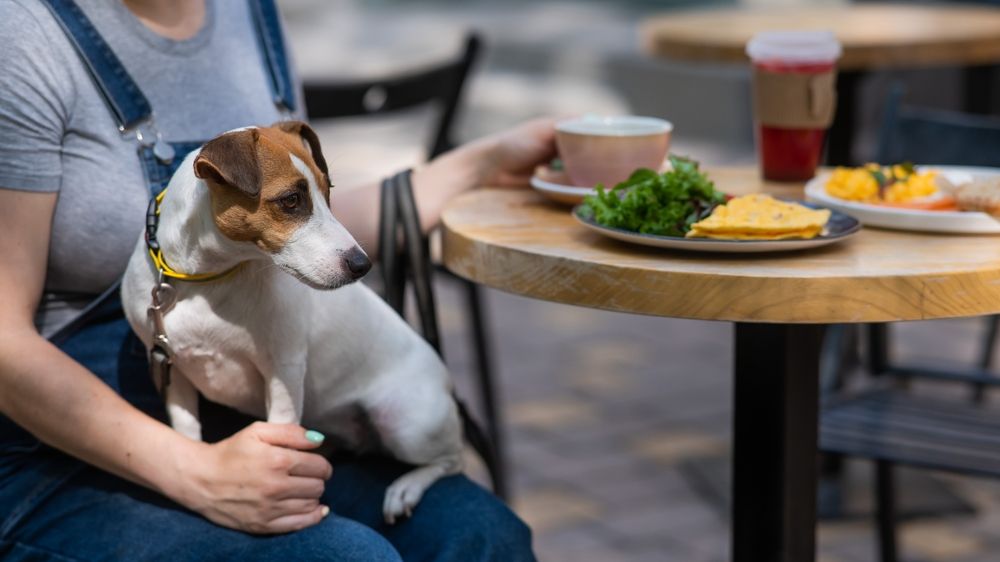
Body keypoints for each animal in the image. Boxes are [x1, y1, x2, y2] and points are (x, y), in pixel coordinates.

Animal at [122, 121, 464, 520]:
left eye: (328, 190)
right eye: (290, 200)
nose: (363, 265)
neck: (207, 282)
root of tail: (447, 383)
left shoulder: (282, 370)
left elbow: (282, 434)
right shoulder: (171, 370)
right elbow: (187, 430)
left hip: (407, 425)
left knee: (451, 460)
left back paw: (405, 488)